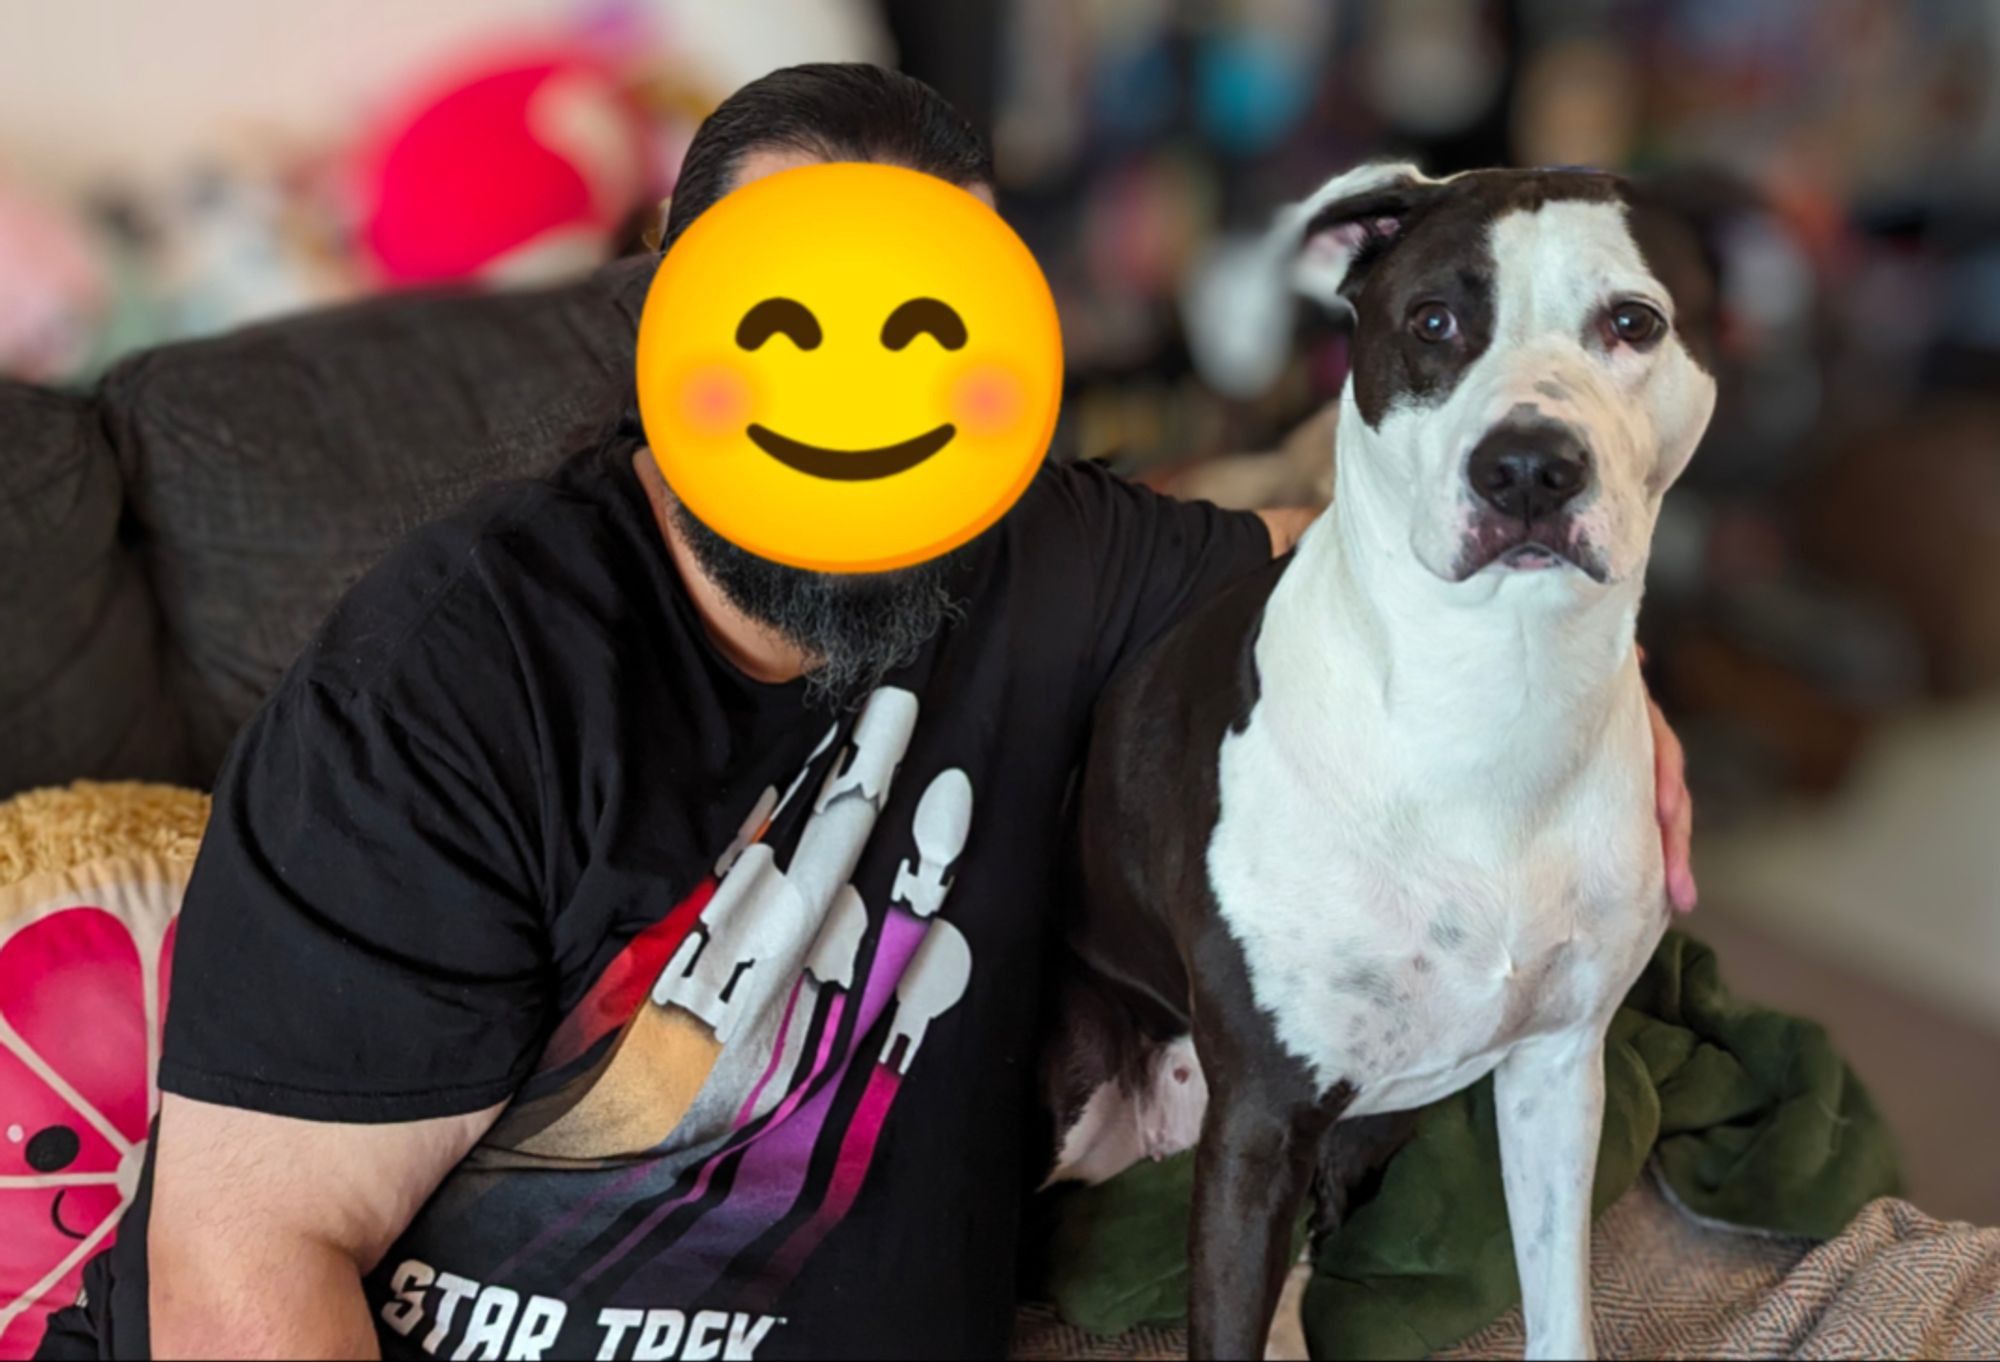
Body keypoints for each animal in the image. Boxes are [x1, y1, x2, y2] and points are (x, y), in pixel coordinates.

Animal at [1048, 165, 1720, 1352]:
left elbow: (1560, 1310)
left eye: (1633, 323)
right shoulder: (1259, 1126)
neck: (1492, 698)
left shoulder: (1557, 1073)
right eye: (1434, 322)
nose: (1527, 470)